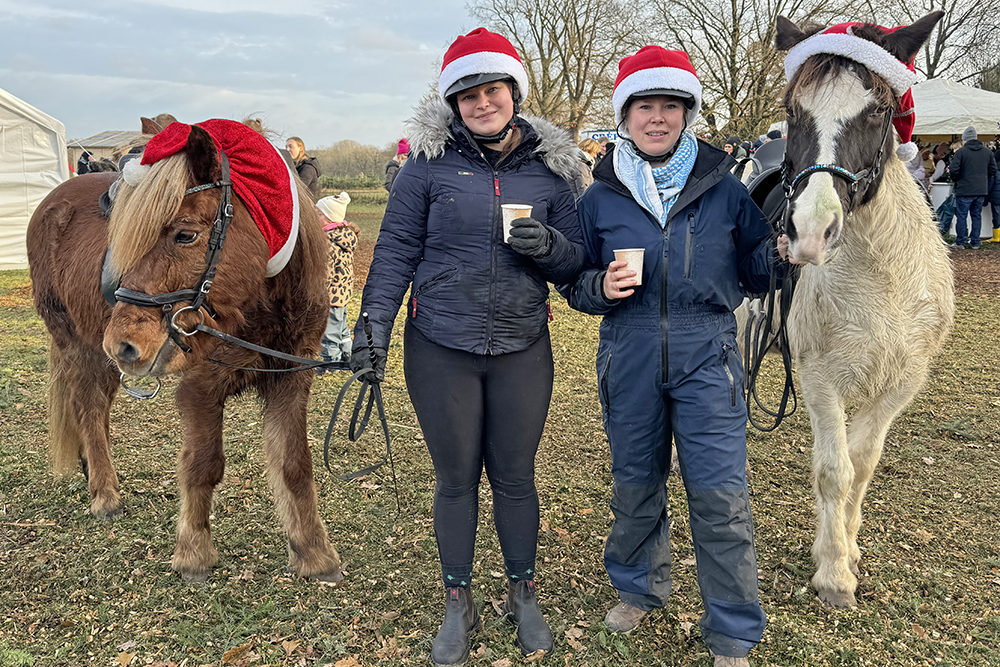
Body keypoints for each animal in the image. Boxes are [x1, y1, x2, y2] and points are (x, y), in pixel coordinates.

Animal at [26, 122, 344, 580]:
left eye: (186, 234)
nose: (123, 341)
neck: (257, 305)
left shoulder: (289, 380)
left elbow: (295, 464)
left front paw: (314, 552)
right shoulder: (201, 388)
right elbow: (203, 465)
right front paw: (194, 552)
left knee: (97, 411)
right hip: (79, 346)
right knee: (87, 407)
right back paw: (105, 494)